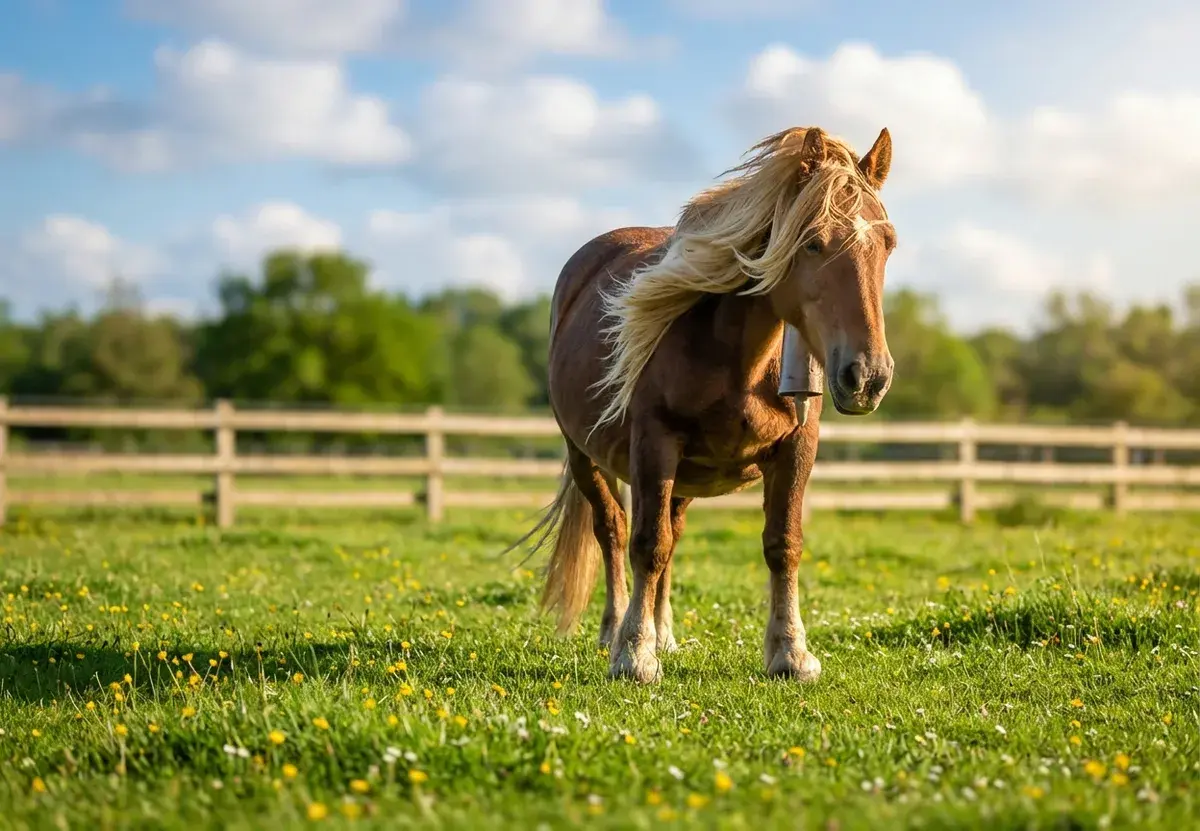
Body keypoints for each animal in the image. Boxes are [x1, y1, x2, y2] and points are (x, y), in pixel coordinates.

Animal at [510, 125, 898, 684]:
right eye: (813, 242)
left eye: (887, 245)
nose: (867, 376)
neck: (739, 357)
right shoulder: (655, 444)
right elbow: (646, 545)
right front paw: (634, 654)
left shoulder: (797, 447)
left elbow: (783, 543)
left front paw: (790, 652)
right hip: (586, 456)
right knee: (614, 530)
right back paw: (615, 629)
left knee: (672, 534)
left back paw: (665, 633)